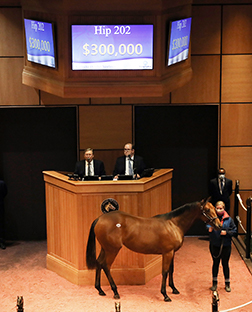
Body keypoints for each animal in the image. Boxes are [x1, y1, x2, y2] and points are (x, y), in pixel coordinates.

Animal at [86, 199, 222, 302]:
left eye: (214, 208)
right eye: (207, 210)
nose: (219, 225)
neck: (173, 224)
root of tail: (100, 219)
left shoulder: (172, 252)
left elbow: (171, 270)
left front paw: (174, 289)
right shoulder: (167, 253)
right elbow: (165, 272)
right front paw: (165, 295)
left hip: (105, 248)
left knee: (99, 263)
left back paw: (100, 290)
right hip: (112, 250)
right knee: (106, 265)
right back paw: (115, 291)